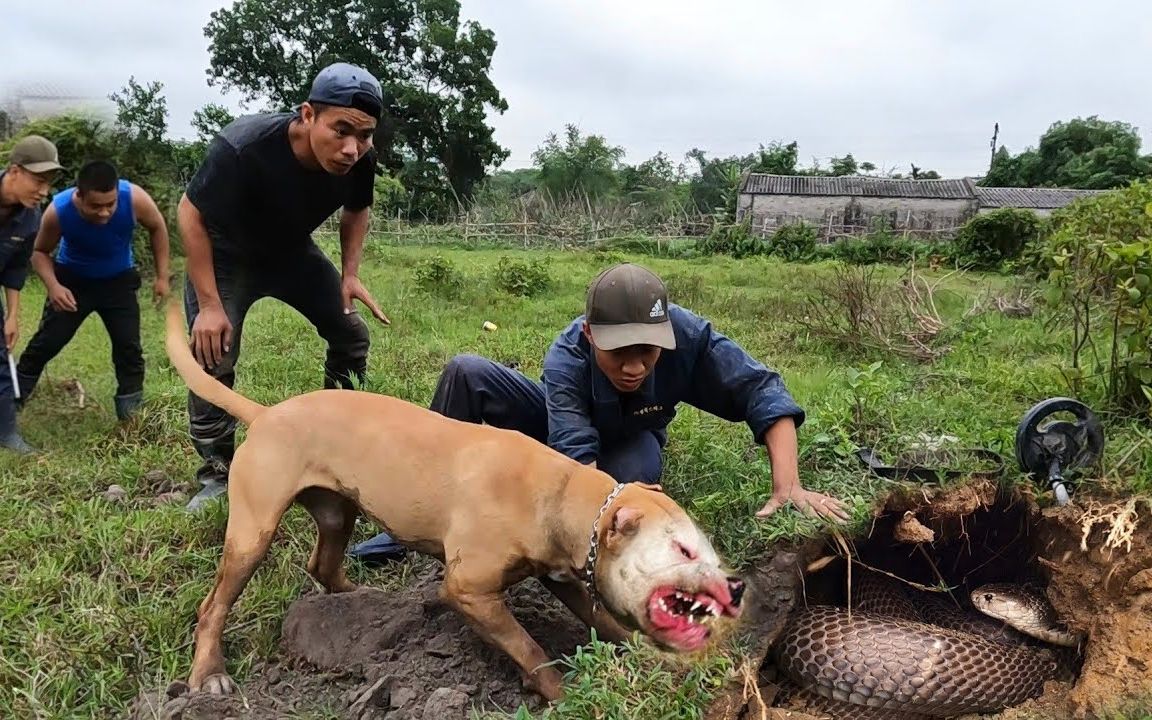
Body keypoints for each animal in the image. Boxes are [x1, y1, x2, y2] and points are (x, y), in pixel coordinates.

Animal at [167, 299, 751, 700]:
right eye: (683, 551)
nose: (738, 589)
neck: (562, 495)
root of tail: (267, 413)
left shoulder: (567, 576)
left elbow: (604, 622)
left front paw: (645, 662)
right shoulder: (469, 590)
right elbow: (530, 649)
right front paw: (562, 695)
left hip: (337, 509)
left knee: (324, 561)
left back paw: (361, 603)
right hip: (253, 530)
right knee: (214, 604)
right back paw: (209, 675)